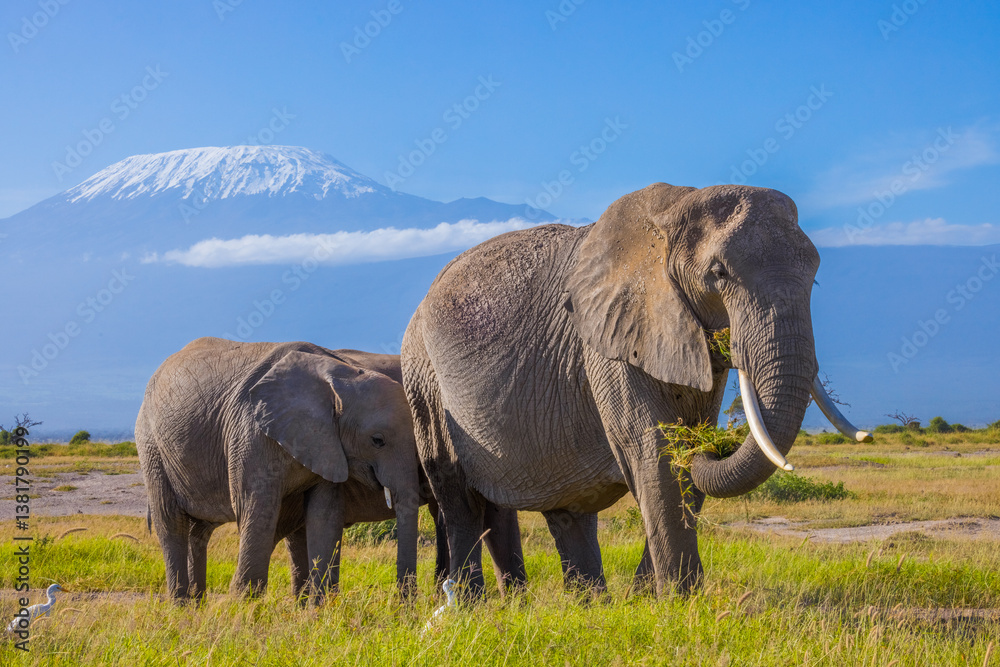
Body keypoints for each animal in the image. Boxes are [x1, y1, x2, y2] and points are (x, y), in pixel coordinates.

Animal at [136, 337, 444, 602]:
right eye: (377, 440)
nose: (404, 608)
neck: (335, 377)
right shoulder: (251, 432)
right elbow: (259, 509)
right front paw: (244, 612)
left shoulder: (327, 445)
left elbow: (324, 515)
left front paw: (319, 613)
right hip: (151, 445)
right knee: (172, 523)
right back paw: (182, 607)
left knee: (199, 531)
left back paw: (197, 608)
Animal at [401, 183, 870, 597]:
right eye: (718, 274)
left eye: (815, 275)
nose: (715, 442)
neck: (673, 214)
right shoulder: (608, 341)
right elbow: (651, 449)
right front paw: (679, 604)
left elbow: (679, 471)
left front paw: (645, 601)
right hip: (423, 378)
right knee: (459, 497)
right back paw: (471, 606)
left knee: (555, 509)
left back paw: (583, 607)